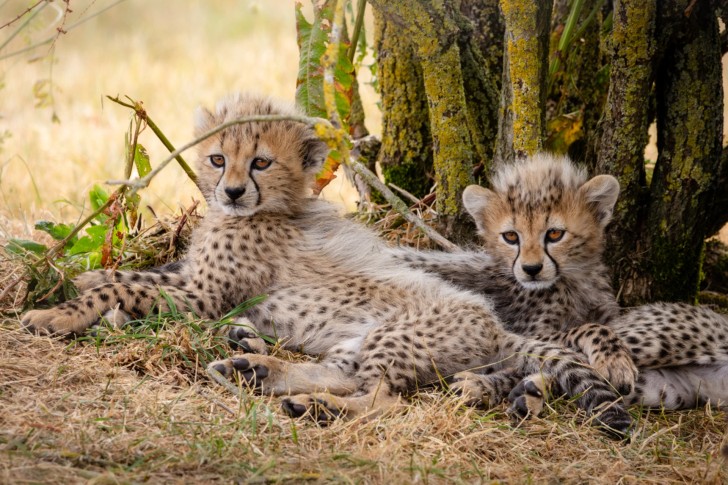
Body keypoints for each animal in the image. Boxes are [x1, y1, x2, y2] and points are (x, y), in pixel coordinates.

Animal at [21, 94, 633, 435]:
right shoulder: (195, 280)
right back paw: (255, 369)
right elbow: (138, 274)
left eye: (260, 162)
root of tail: (492, 322)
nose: (232, 192)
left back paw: (308, 406)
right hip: (355, 339)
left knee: (384, 401)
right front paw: (82, 278)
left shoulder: (203, 295)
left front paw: (55, 314)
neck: (269, 210)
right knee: (342, 374)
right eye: (217, 157)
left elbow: (127, 286)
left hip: (397, 334)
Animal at [396, 152, 728, 410]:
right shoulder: (530, 331)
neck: (573, 281)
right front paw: (614, 361)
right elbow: (584, 331)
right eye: (511, 237)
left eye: (554, 234)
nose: (531, 268)